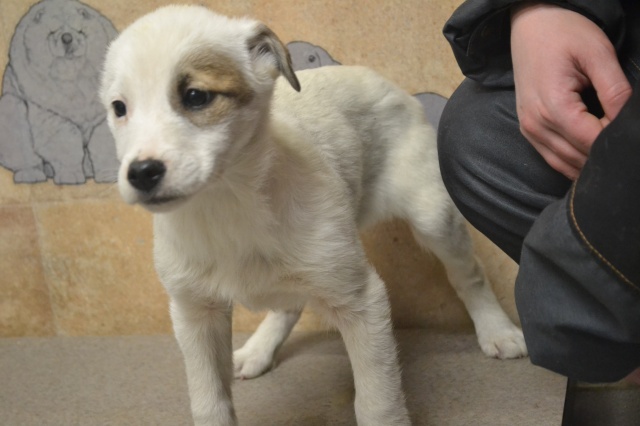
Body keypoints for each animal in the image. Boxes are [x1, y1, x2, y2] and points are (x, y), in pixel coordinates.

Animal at [100, 5, 527, 425]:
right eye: (119, 108)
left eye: (195, 96)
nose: (141, 173)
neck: (230, 204)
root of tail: (374, 76)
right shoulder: (194, 313)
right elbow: (210, 404)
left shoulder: (362, 302)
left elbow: (378, 403)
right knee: (289, 304)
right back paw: (258, 350)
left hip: (432, 214)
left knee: (469, 274)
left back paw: (497, 330)